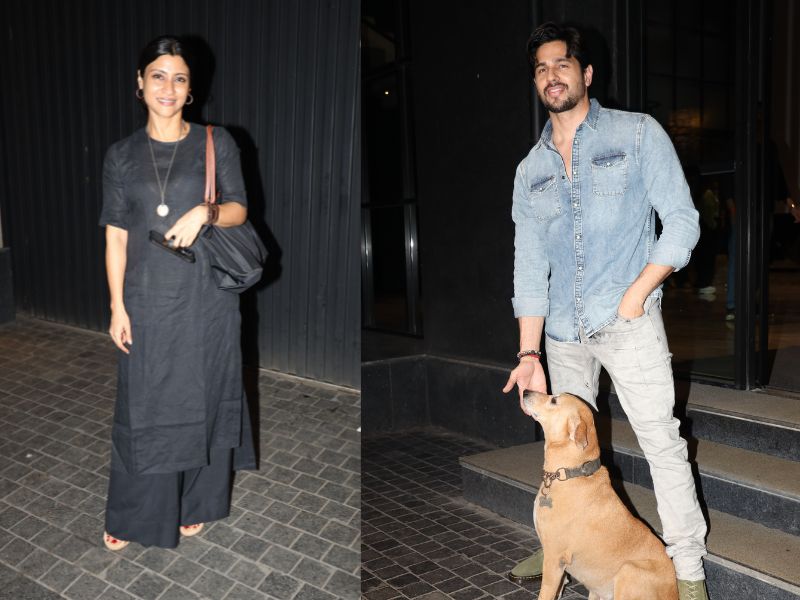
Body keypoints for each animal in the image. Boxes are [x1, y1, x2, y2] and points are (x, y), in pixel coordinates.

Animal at [522, 391, 678, 600]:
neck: (569, 473)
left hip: (628, 570)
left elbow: (546, 593)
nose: (525, 391)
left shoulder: (554, 558)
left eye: (554, 400)